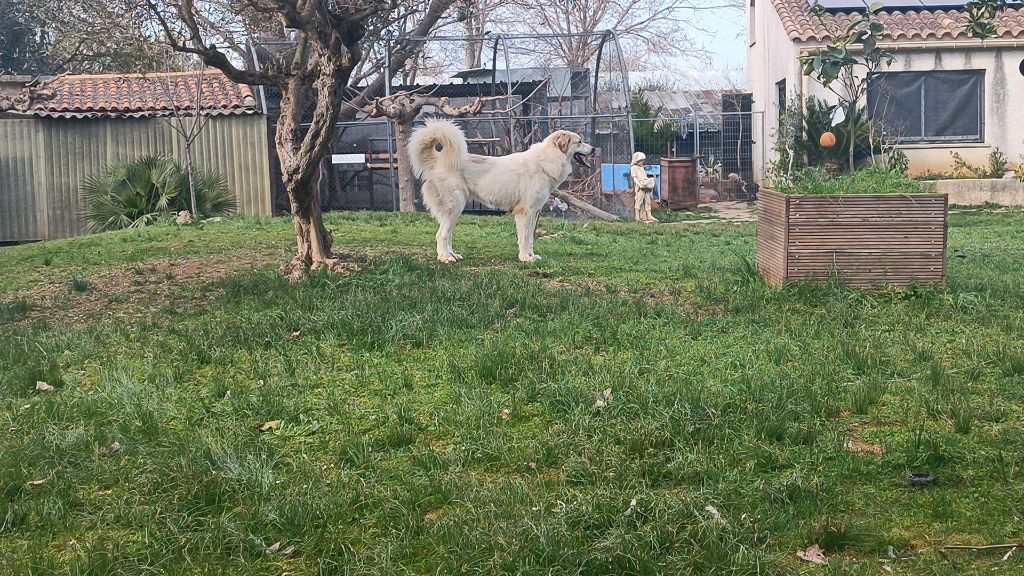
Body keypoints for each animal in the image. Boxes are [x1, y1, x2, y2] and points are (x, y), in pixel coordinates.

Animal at [407, 118, 598, 262]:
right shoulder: (524, 211)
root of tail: (437, 161)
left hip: (454, 211)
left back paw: (452, 254)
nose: (594, 148)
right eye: (579, 141)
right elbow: (524, 238)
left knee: (448, 235)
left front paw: (531, 256)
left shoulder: (533, 212)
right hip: (455, 207)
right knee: (441, 235)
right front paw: (525, 258)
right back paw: (445, 258)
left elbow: (530, 238)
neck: (547, 160)